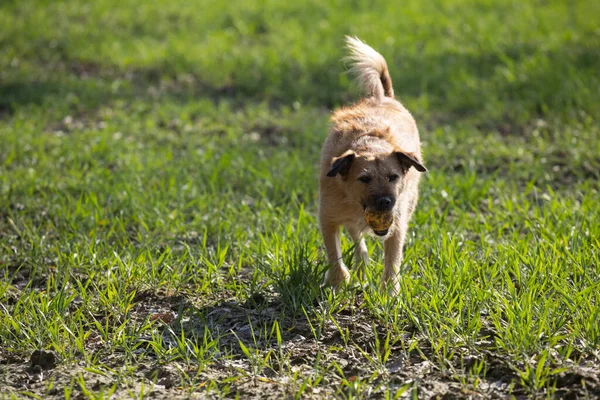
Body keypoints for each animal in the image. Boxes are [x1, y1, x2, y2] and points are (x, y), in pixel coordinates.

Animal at [318, 36, 426, 294]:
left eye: (393, 177)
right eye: (364, 179)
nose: (385, 201)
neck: (370, 143)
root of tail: (382, 96)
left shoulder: (397, 224)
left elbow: (392, 260)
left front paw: (390, 294)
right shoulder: (328, 217)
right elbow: (334, 254)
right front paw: (338, 281)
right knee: (358, 240)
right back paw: (359, 267)